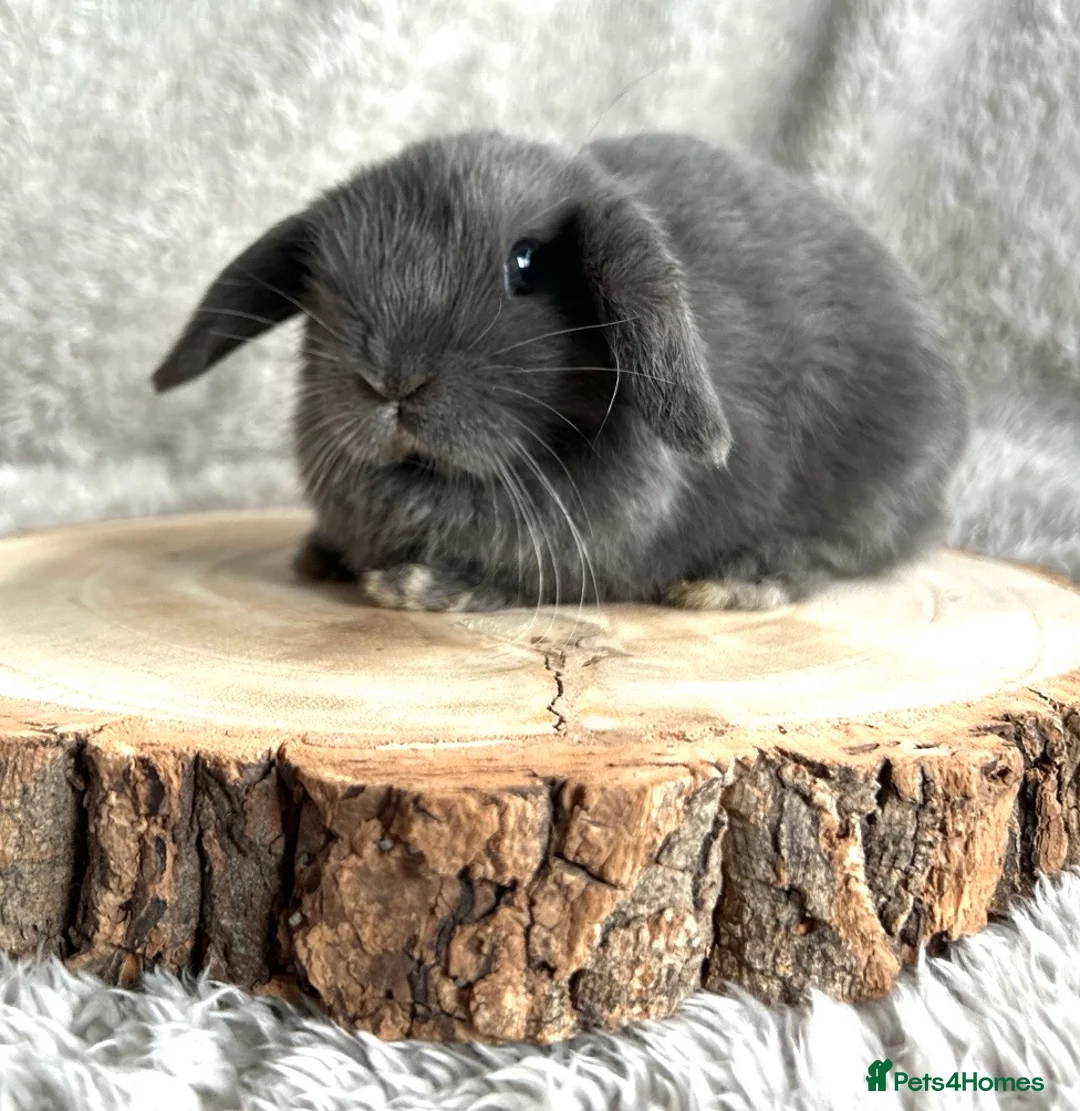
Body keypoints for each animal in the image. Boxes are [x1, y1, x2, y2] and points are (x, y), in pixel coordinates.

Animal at [151, 130, 970, 614]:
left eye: (527, 264)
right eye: (324, 278)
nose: (389, 383)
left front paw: (421, 585)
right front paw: (321, 554)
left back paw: (736, 581)